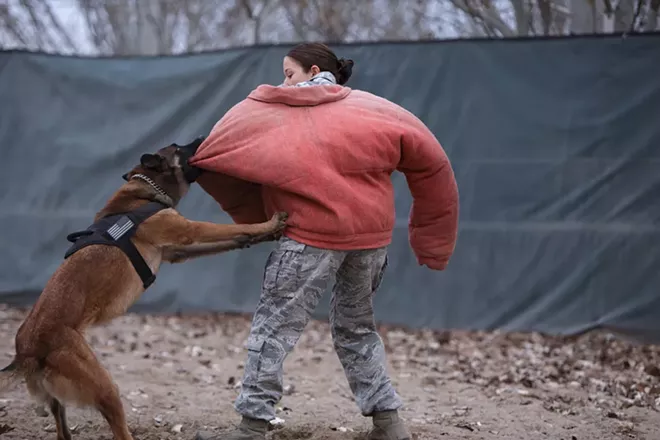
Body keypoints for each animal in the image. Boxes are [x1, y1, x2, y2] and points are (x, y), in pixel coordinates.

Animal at [0, 138, 288, 440]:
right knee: (118, 425)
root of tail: (25, 351)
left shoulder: (179, 250)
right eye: (178, 147)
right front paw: (269, 223)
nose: (201, 138)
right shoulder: (189, 231)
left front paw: (266, 233)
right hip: (103, 385)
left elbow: (234, 238)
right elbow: (230, 228)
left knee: (62, 430)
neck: (146, 191)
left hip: (62, 399)